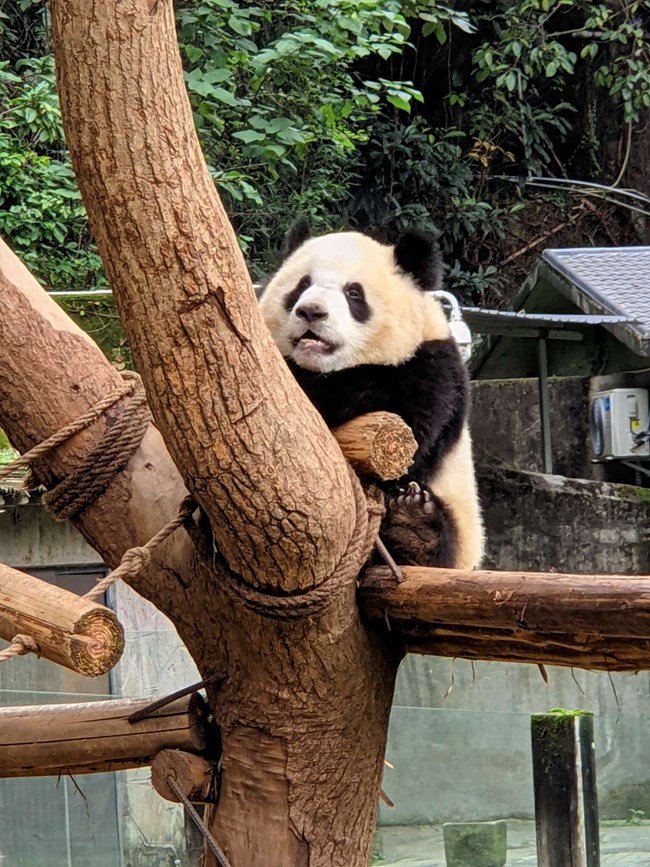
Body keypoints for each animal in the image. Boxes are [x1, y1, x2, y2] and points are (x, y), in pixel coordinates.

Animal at [259, 220, 484, 571]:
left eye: (353, 293)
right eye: (302, 285)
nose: (311, 311)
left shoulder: (432, 370)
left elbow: (398, 412)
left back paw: (414, 526)